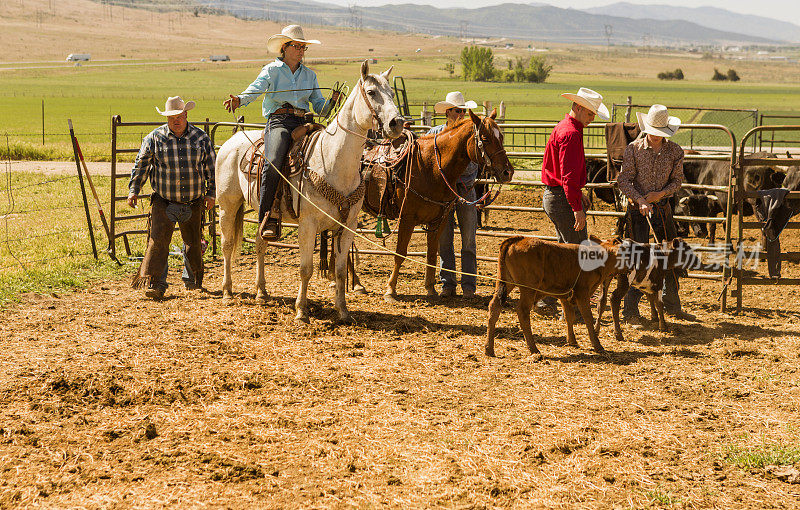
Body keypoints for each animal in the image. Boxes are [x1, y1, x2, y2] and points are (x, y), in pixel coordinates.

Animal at [216, 60, 404, 322]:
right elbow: (306, 269)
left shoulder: (348, 225)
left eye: (392, 93)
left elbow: (339, 270)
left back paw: (262, 292)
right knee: (227, 243)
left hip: (262, 211)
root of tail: (232, 140)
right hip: (227, 204)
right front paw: (301, 310)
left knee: (260, 243)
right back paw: (227, 292)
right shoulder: (308, 224)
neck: (333, 160)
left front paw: (343, 310)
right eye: (371, 92)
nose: (397, 123)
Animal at [360, 107, 512, 298]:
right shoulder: (407, 218)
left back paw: (356, 284)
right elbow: (400, 253)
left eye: (501, 137)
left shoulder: (438, 220)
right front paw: (390, 290)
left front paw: (430, 289)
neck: (429, 167)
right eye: (485, 138)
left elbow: (432, 254)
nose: (508, 172)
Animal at [484, 234, 620, 356]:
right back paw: (534, 349)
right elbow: (588, 317)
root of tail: (519, 239)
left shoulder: (565, 296)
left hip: (505, 282)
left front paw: (572, 341)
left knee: (494, 306)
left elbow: (569, 316)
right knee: (522, 311)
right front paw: (597, 345)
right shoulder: (582, 293)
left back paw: (489, 349)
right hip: (528, 289)